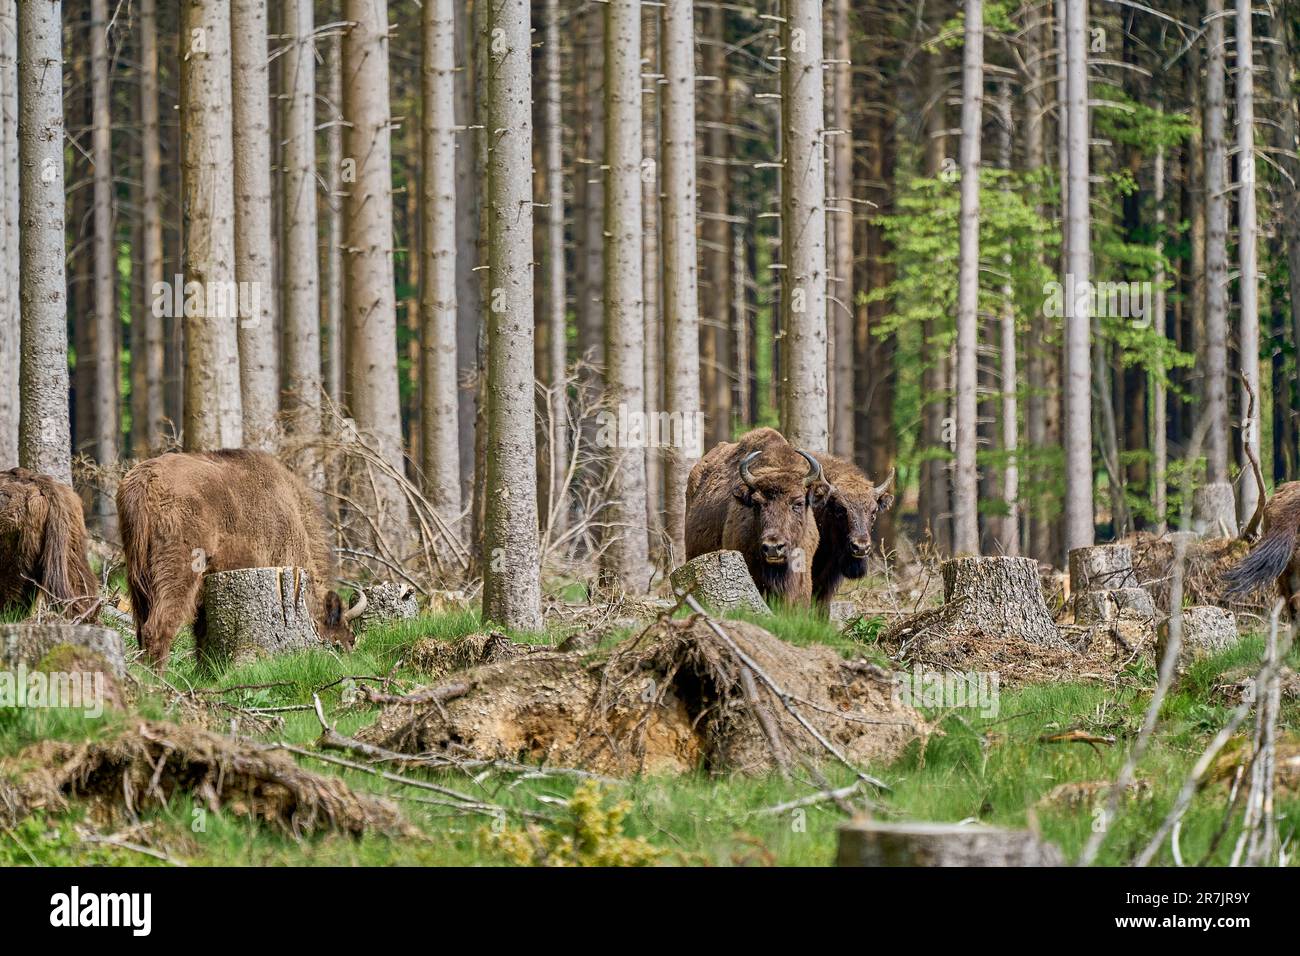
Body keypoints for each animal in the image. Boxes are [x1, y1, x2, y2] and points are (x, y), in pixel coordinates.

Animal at [0, 470, 100, 621]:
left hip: (19, 535)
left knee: (15, 578)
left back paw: (9, 615)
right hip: (70, 537)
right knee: (79, 577)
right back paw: (85, 613)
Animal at [116, 452, 361, 671]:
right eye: (343, 637)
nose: (349, 658)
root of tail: (146, 478)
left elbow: (202, 634)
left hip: (137, 575)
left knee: (142, 626)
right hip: (179, 572)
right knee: (158, 625)